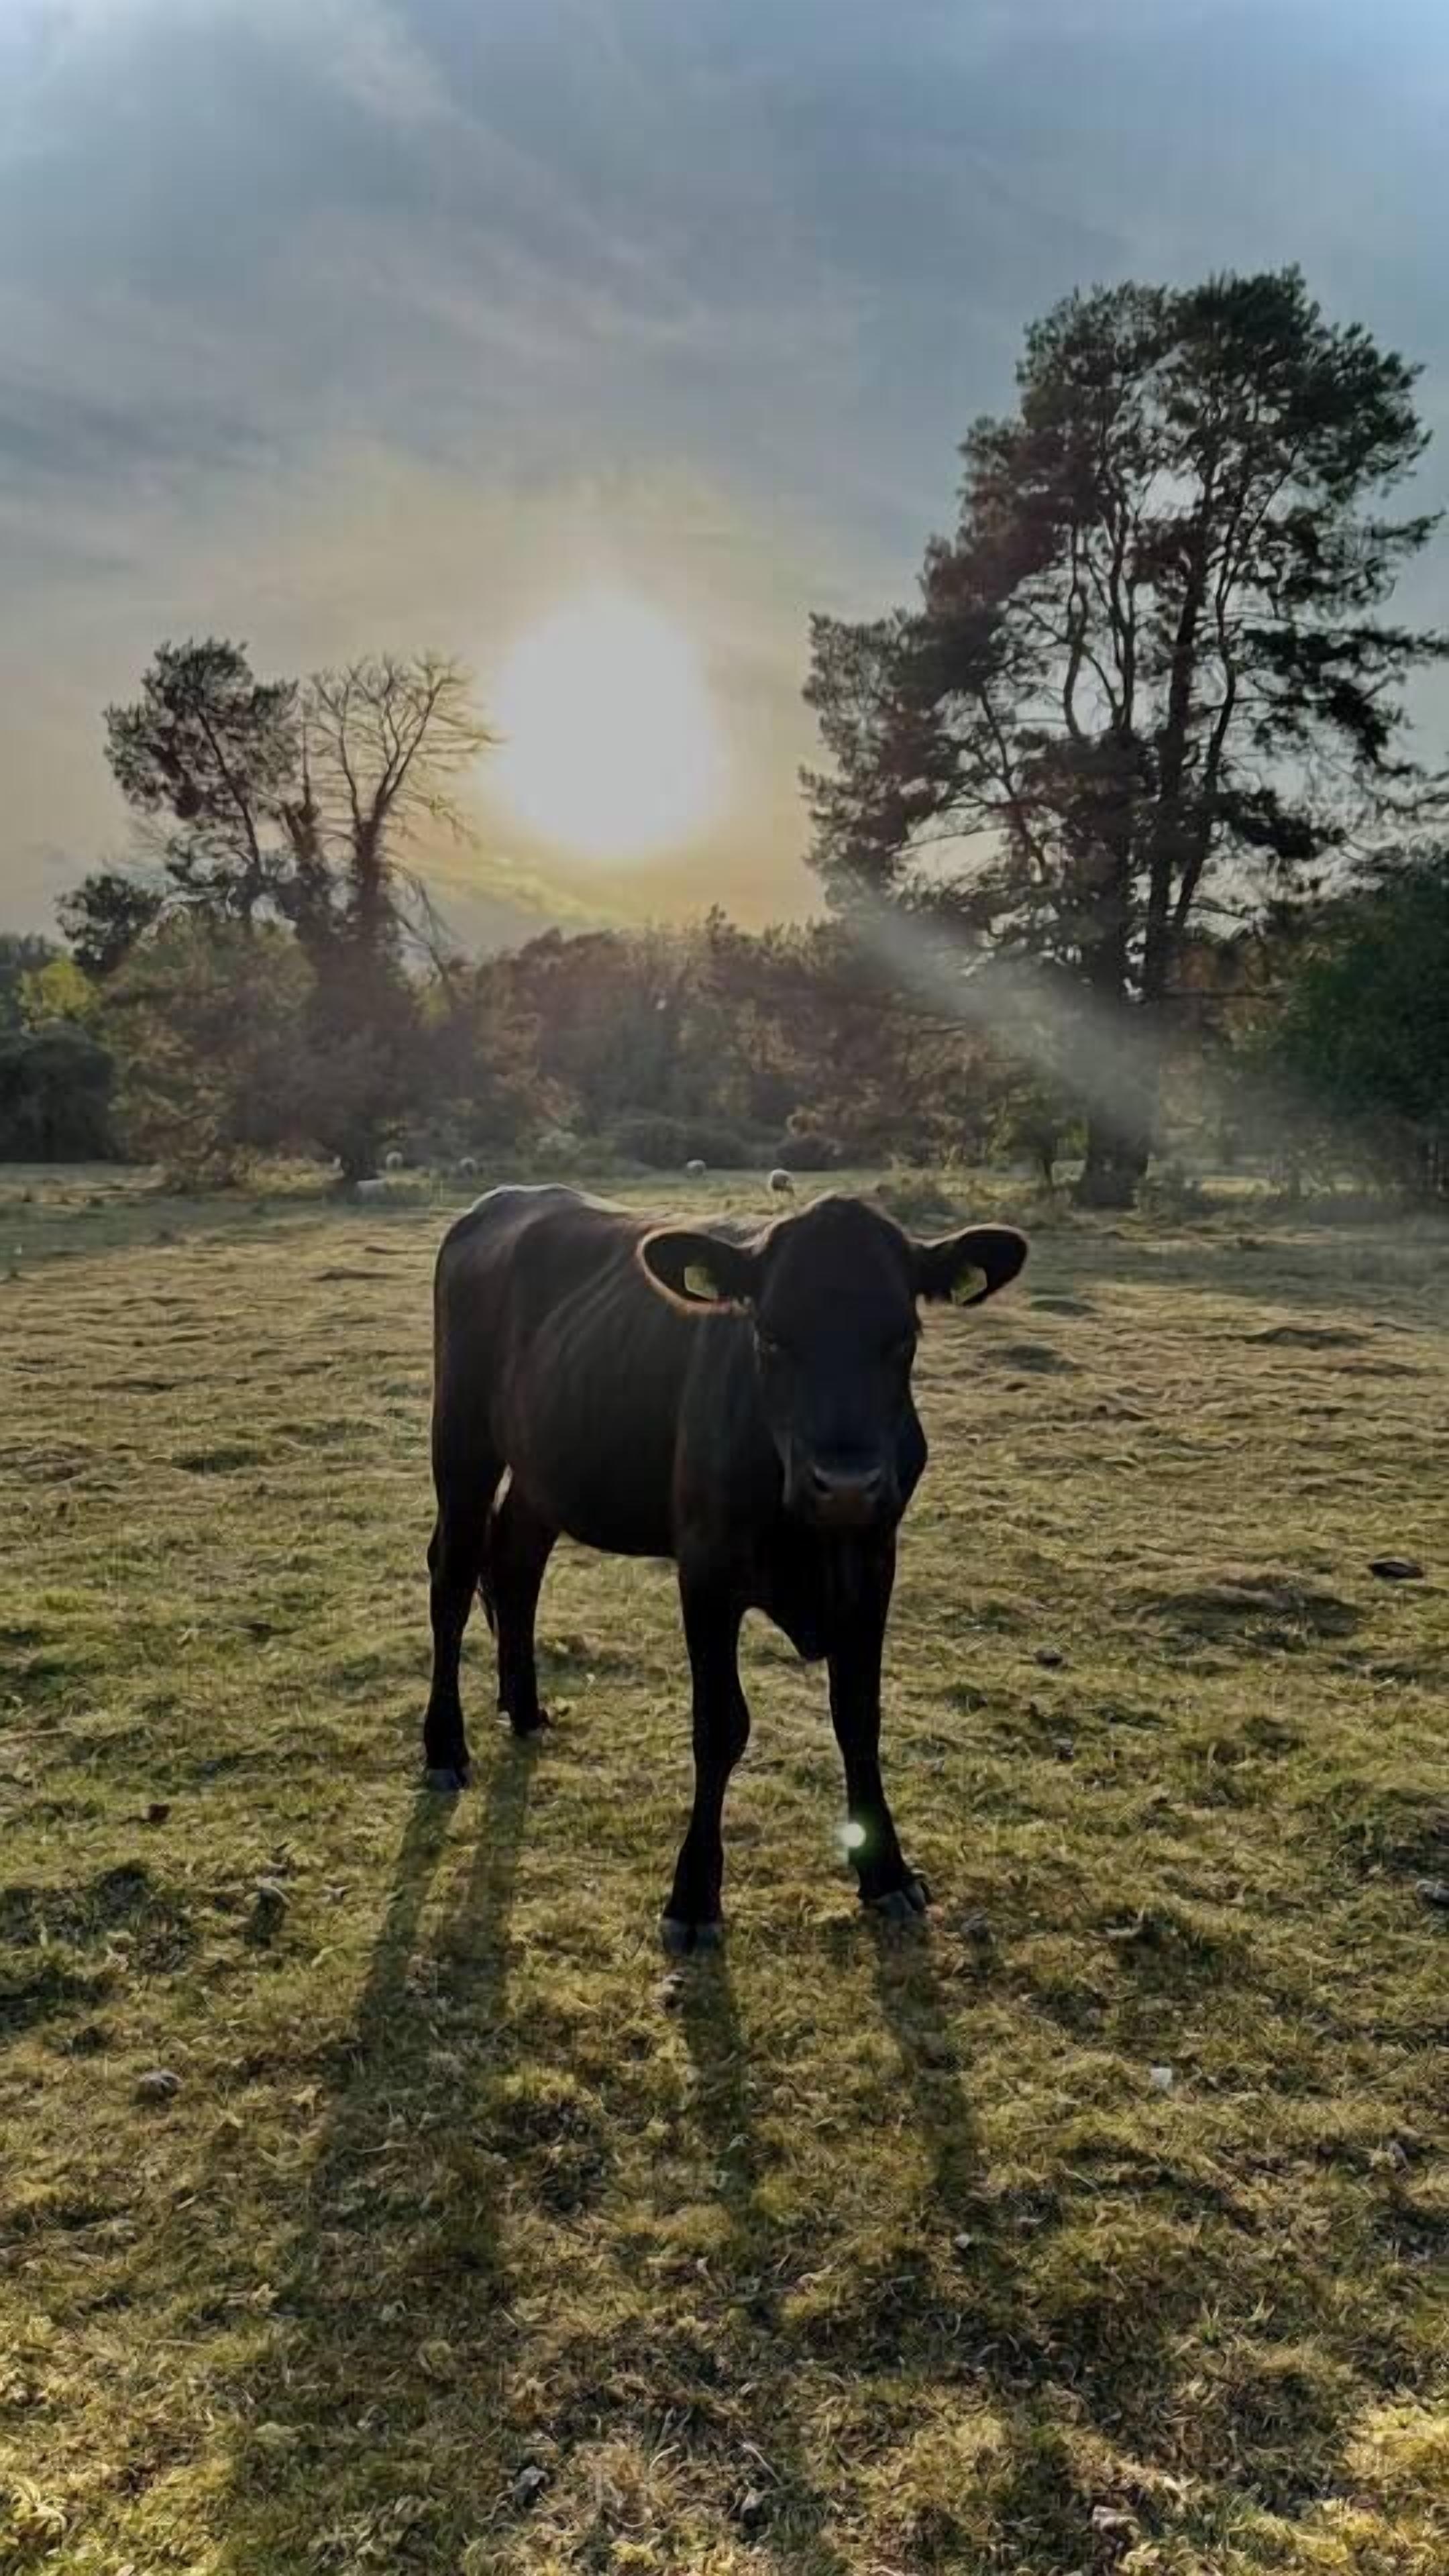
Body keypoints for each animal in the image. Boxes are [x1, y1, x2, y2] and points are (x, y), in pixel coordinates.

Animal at [424, 1186, 1027, 1949]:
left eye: (903, 1338)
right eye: (768, 1337)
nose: (847, 1485)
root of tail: (498, 1203)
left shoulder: (875, 1561)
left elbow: (859, 1715)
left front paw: (885, 1872)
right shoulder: (706, 1571)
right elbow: (720, 1725)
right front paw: (693, 1896)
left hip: (545, 1463)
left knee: (515, 1563)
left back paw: (525, 1707)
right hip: (461, 1442)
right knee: (451, 1577)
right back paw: (444, 1748)